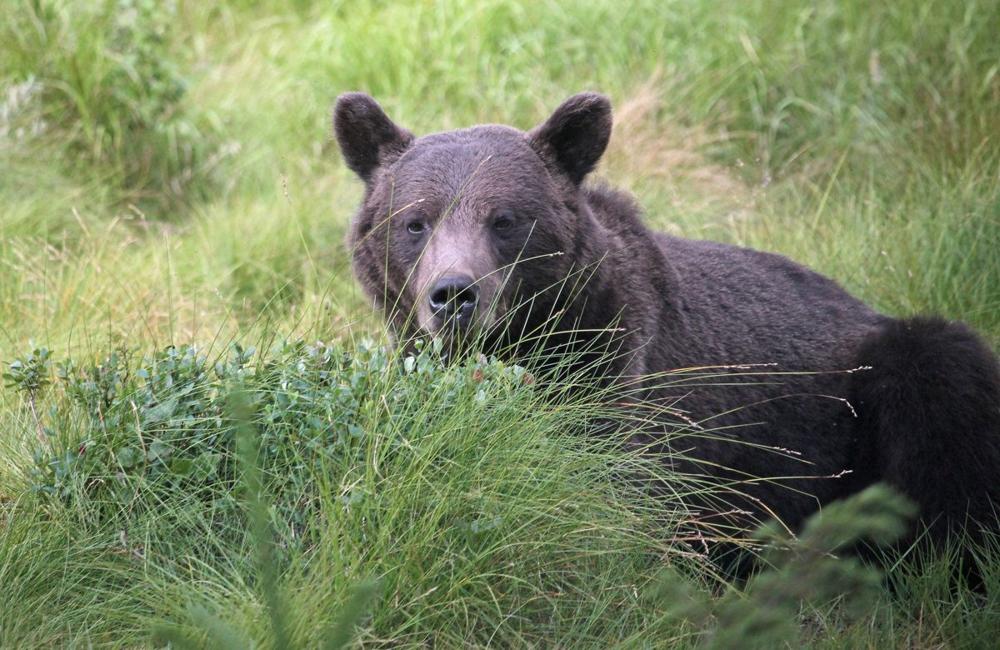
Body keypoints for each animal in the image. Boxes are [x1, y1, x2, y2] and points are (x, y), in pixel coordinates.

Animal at [333, 91, 1000, 547]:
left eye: (505, 219)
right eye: (415, 221)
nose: (453, 295)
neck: (531, 339)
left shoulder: (622, 374)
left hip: (878, 383)